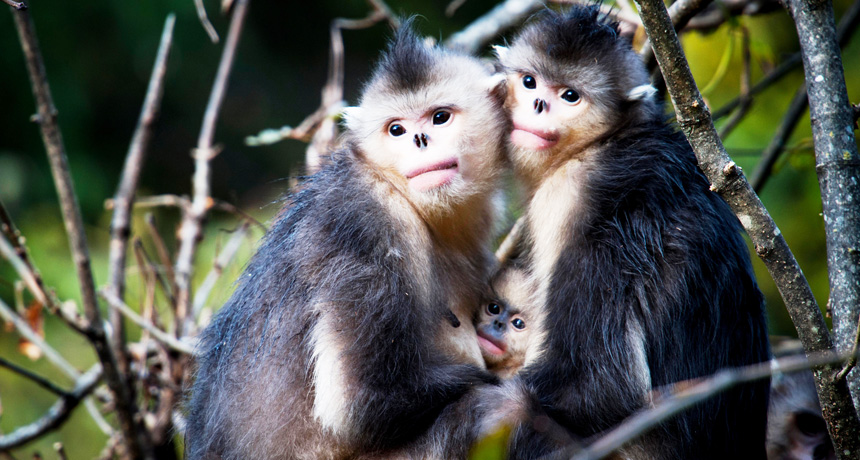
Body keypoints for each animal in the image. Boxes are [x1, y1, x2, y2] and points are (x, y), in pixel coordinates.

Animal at [185, 21, 509, 460]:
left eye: (440, 118)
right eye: (396, 129)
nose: (420, 140)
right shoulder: (363, 225)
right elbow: (361, 408)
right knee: (496, 407)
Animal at [491, 6, 771, 458]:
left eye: (570, 96)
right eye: (530, 81)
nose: (537, 104)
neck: (609, 142)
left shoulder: (572, 198)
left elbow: (602, 386)